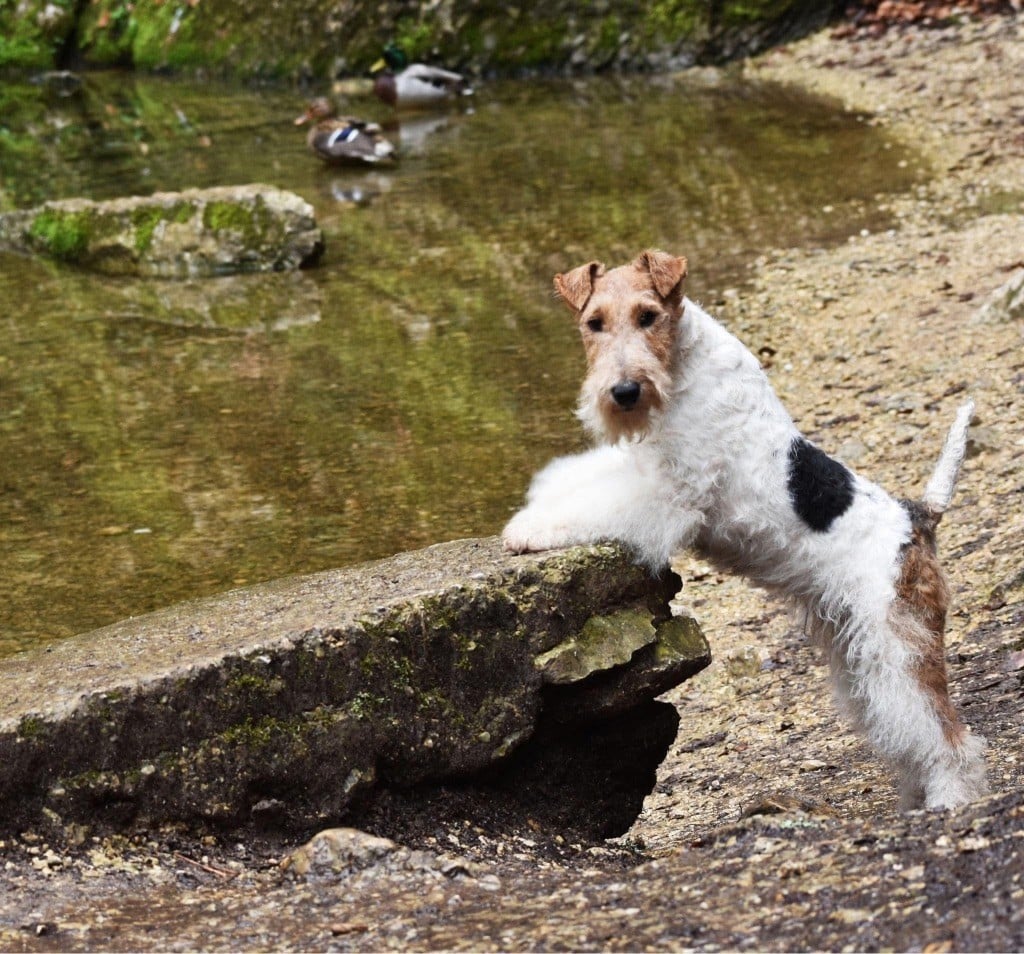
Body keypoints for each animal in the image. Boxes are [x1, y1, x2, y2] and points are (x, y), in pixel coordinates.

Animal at [499, 249, 987, 810]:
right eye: (593, 322)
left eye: (648, 315)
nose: (623, 392)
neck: (683, 366)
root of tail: (918, 517)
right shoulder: (643, 466)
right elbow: (579, 479)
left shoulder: (670, 496)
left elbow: (598, 505)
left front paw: (528, 528)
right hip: (858, 654)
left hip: (899, 644)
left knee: (946, 731)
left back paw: (950, 797)